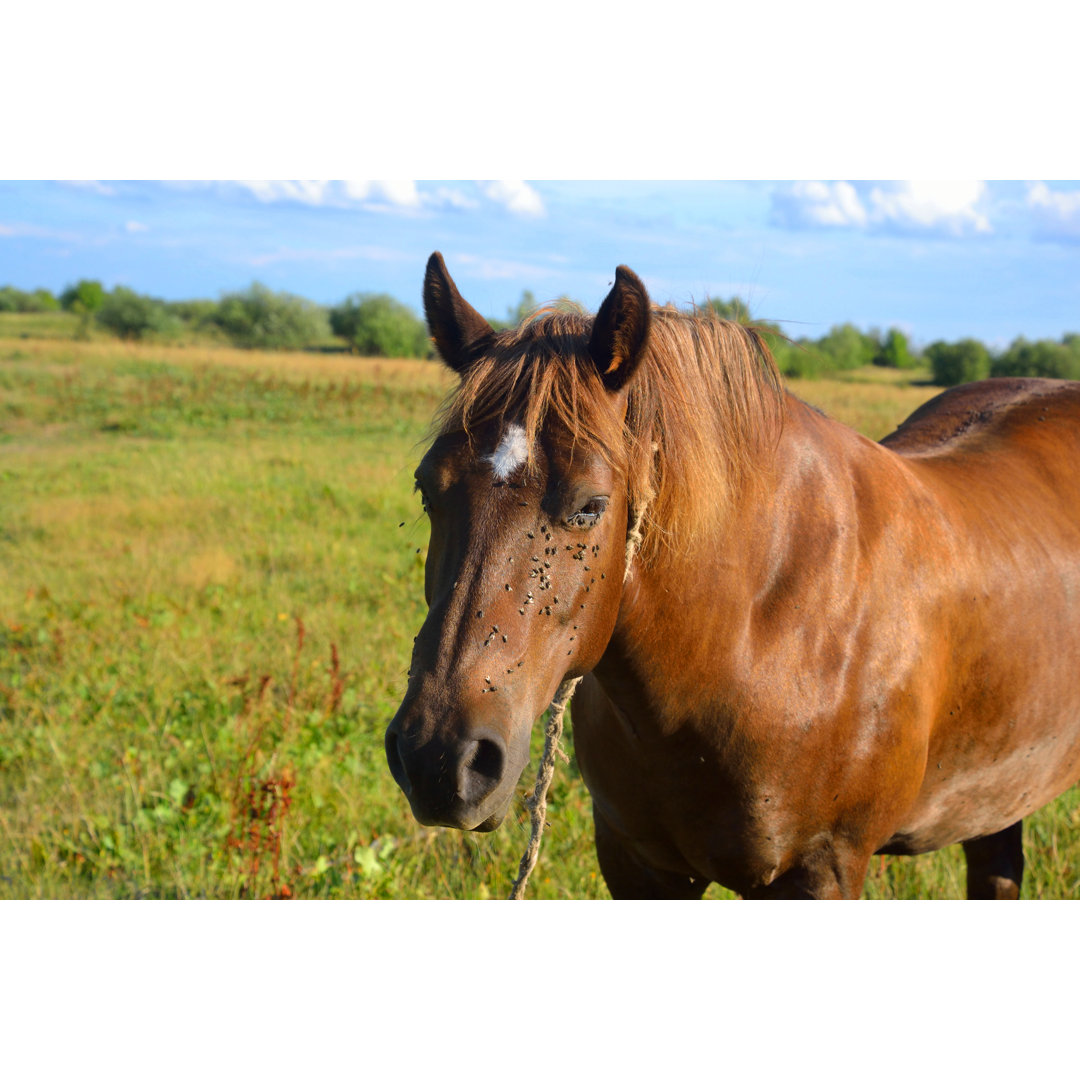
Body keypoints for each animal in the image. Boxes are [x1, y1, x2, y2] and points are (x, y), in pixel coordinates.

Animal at [384, 250, 1080, 894]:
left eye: (591, 505)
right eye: (426, 488)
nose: (439, 760)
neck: (761, 635)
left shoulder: (821, 870)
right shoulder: (640, 865)